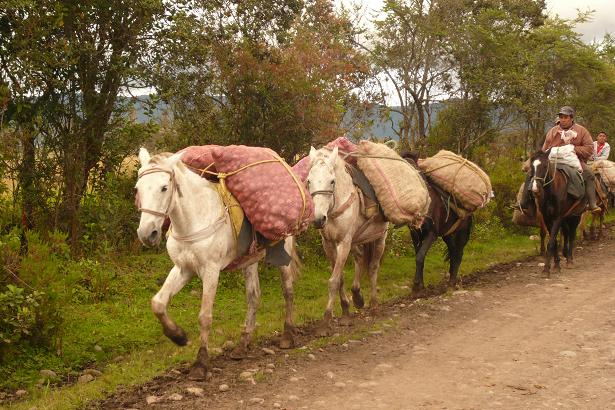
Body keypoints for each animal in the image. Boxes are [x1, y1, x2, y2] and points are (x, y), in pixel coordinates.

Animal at [135, 148, 300, 382]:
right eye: (138, 188)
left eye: (164, 187)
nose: (147, 234)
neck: (195, 218)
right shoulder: (183, 269)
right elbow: (158, 303)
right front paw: (178, 336)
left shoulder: (211, 271)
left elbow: (205, 316)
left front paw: (200, 364)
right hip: (250, 261)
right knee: (253, 297)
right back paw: (242, 344)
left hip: (283, 256)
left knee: (288, 292)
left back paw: (287, 335)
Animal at [306, 146, 388, 334]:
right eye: (309, 181)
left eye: (332, 181)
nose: (318, 219)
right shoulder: (329, 245)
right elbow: (340, 278)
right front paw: (345, 312)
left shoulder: (343, 243)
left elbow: (333, 281)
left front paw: (326, 321)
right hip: (358, 241)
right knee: (360, 259)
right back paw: (357, 296)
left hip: (379, 238)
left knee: (373, 267)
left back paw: (374, 305)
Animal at [402, 153, 474, 292]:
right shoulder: (415, 235)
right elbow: (419, 256)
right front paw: (420, 285)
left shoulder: (432, 234)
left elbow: (420, 256)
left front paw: (417, 286)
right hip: (448, 235)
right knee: (453, 251)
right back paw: (450, 280)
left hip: (461, 233)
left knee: (459, 254)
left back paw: (452, 283)